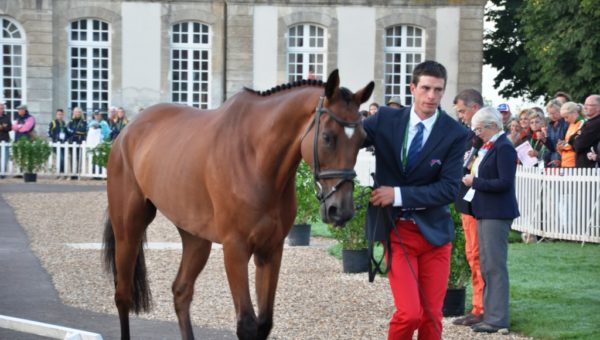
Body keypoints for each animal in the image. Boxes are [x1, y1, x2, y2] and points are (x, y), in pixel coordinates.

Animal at [103, 70, 376, 338]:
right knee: (123, 295)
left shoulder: (271, 249)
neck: (256, 159)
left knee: (181, 291)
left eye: (362, 139)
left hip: (195, 237)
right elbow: (246, 324)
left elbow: (264, 323)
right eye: (328, 137)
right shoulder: (235, 248)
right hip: (129, 229)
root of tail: (128, 130)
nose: (341, 210)